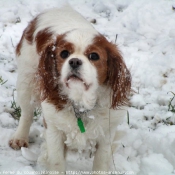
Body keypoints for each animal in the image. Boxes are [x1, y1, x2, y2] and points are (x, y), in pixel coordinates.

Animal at [8, 5, 131, 174]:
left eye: (94, 56)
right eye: (64, 53)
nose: (74, 61)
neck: (80, 101)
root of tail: (57, 8)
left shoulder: (106, 132)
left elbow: (100, 162)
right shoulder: (54, 129)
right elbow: (57, 162)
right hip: (26, 82)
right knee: (26, 113)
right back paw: (19, 138)